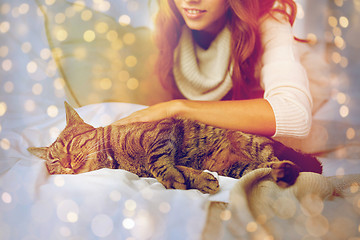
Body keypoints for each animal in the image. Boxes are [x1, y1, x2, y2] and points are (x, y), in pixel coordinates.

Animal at [27, 102, 320, 194]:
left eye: (70, 145)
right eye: (54, 162)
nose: (66, 163)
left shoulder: (161, 130)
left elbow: (158, 161)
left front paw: (171, 177)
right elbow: (182, 170)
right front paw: (197, 180)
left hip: (253, 144)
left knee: (291, 165)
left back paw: (286, 171)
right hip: (236, 167)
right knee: (263, 168)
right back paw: (278, 172)